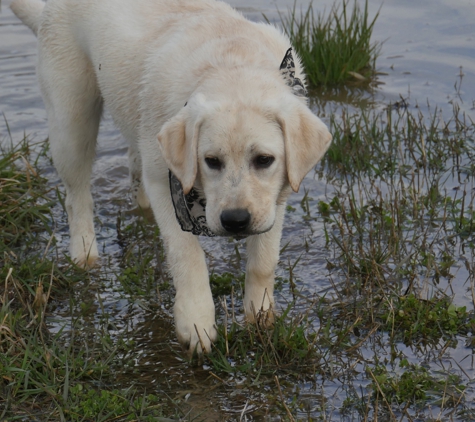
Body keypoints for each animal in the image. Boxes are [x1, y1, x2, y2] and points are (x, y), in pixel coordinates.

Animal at [10, 0, 330, 356]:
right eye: (211, 161)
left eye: (264, 160)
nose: (235, 221)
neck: (231, 62)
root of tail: (47, 11)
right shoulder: (166, 184)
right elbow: (186, 254)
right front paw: (196, 321)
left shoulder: (277, 196)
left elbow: (264, 258)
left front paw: (260, 314)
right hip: (72, 117)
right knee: (76, 193)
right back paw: (84, 250)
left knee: (133, 165)